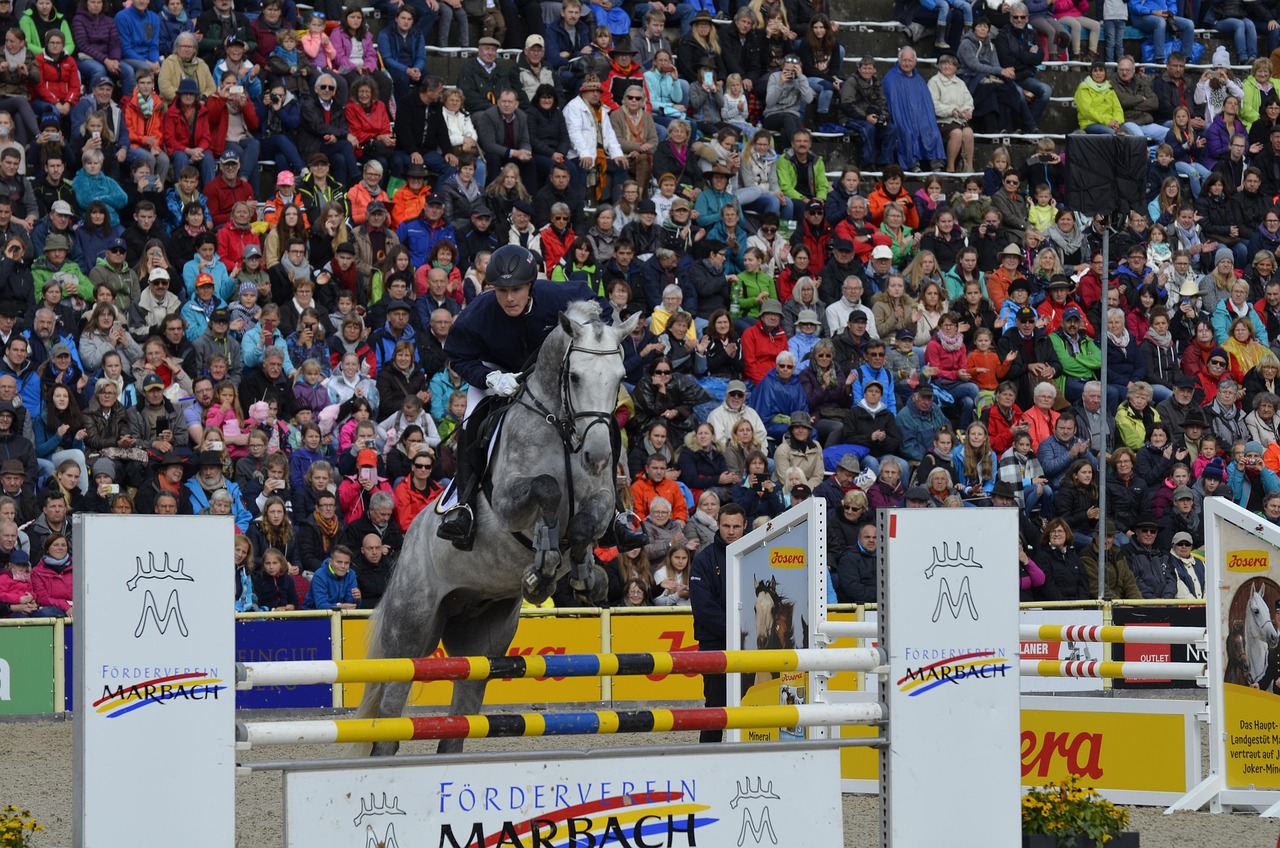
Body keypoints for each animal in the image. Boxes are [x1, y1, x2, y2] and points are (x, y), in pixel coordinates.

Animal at [350, 302, 640, 758]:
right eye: (574, 376)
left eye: (619, 378)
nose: (596, 455)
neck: (561, 428)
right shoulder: (508, 500)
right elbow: (547, 488)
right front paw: (544, 562)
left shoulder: (601, 498)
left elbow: (585, 525)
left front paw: (580, 575)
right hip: (410, 633)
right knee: (390, 719)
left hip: (483, 644)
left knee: (457, 724)